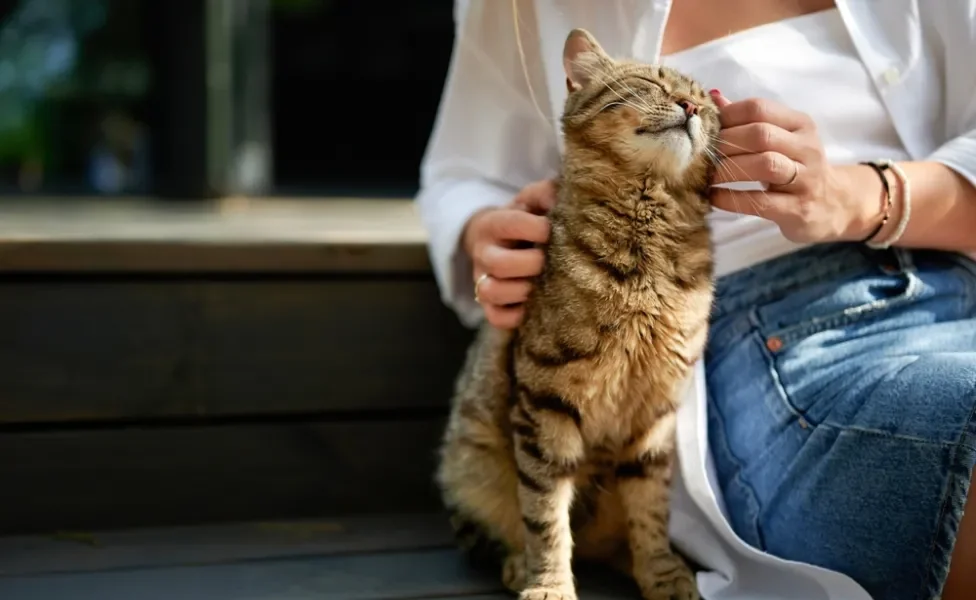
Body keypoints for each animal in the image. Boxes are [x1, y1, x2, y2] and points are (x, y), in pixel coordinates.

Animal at [438, 27, 720, 600]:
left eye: (704, 103)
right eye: (654, 83)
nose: (689, 107)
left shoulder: (654, 414)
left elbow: (650, 511)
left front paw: (662, 573)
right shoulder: (546, 403)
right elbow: (546, 514)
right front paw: (548, 584)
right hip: (469, 461)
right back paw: (517, 565)